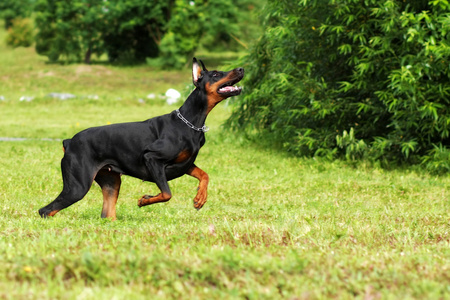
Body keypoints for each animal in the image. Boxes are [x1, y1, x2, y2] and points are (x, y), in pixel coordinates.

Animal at [37, 57, 244, 219]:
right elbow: (166, 193)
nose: (241, 69)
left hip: (111, 181)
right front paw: (144, 200)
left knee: (107, 214)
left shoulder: (185, 164)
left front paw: (200, 198)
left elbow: (204, 175)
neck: (190, 122)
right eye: (216, 74)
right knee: (46, 210)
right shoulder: (153, 159)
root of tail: (69, 142)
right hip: (77, 186)